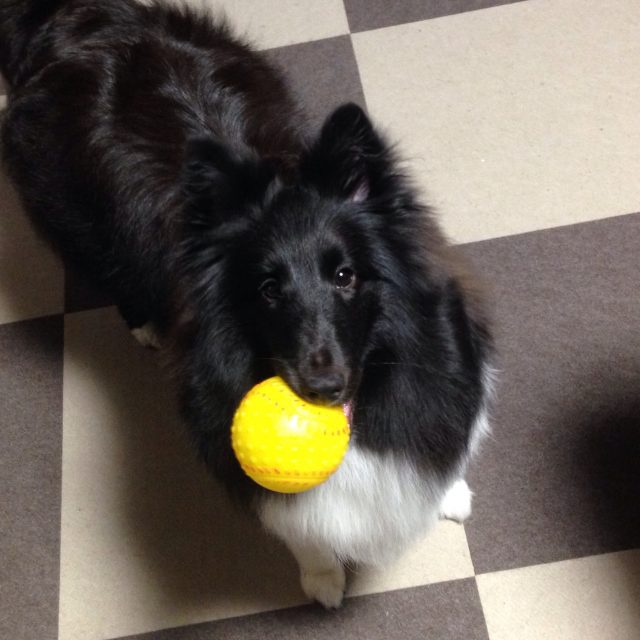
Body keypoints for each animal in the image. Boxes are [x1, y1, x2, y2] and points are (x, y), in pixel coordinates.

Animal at [0, 0, 494, 608]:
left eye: (346, 276)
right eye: (268, 290)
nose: (322, 387)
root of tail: (73, 18)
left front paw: (449, 495)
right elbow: (298, 526)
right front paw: (322, 580)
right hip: (76, 223)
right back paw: (145, 325)